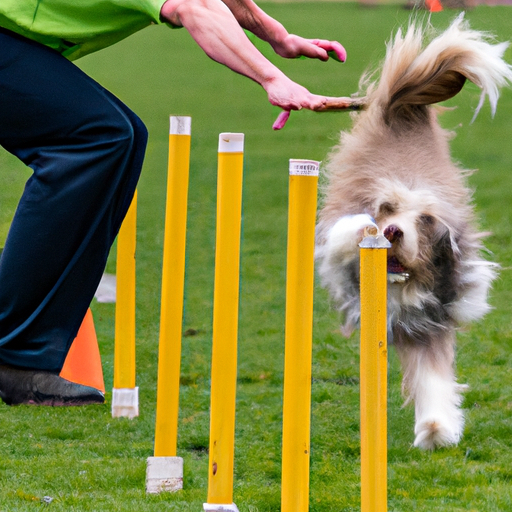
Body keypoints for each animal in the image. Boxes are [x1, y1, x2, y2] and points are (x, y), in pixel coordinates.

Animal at [316, 14, 512, 450]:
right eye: (387, 208)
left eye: (424, 220)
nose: (390, 230)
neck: (401, 280)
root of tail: (403, 106)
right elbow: (344, 233)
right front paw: (362, 227)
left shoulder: (429, 320)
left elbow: (432, 378)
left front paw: (436, 429)